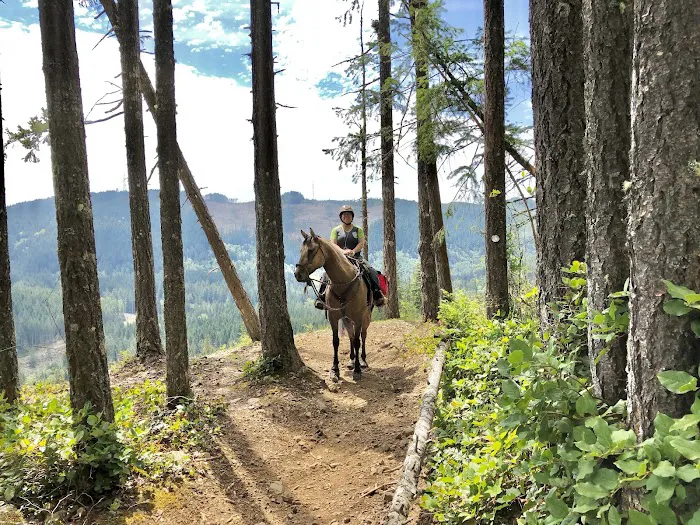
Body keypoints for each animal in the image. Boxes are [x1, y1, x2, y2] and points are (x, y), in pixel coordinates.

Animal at [293, 228, 372, 382]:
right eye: (301, 250)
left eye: (311, 250)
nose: (297, 274)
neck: (344, 282)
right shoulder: (333, 317)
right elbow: (336, 341)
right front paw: (335, 369)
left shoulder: (358, 318)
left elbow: (358, 341)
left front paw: (357, 370)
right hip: (346, 319)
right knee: (351, 336)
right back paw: (351, 360)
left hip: (365, 317)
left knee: (363, 335)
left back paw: (363, 361)